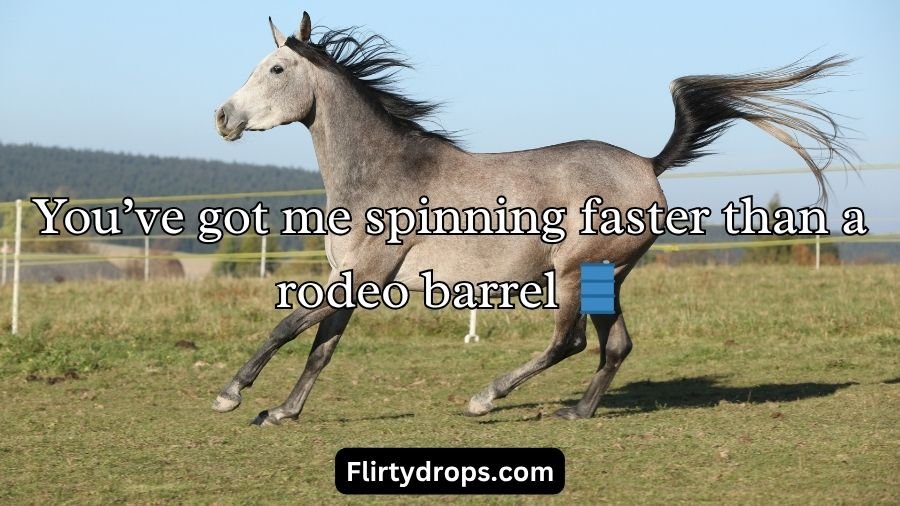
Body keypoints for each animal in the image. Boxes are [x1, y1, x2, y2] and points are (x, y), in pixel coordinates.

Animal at [213, 11, 855, 426]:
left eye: (274, 70)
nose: (222, 117)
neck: (383, 170)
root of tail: (649, 164)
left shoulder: (366, 276)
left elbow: (287, 326)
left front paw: (232, 395)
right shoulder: (353, 280)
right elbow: (321, 346)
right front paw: (282, 411)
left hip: (572, 273)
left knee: (568, 341)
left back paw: (484, 399)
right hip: (605, 278)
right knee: (615, 345)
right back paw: (576, 412)